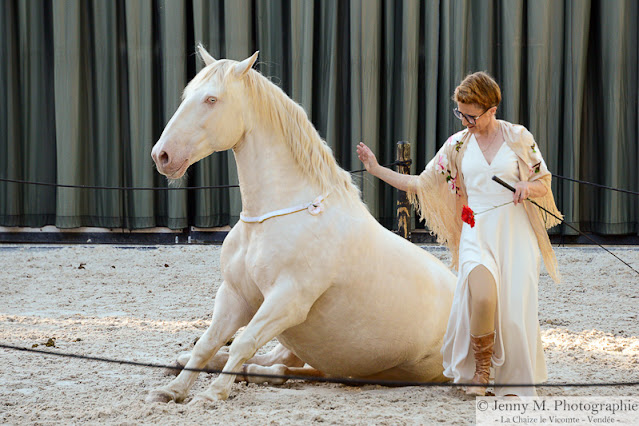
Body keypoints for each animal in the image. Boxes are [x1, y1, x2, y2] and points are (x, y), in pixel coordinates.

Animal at [148, 46, 458, 402]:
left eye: (212, 99)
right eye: (187, 95)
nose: (162, 156)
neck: (271, 219)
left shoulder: (288, 301)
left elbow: (243, 342)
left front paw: (211, 395)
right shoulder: (235, 296)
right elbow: (209, 344)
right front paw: (171, 390)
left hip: (380, 370)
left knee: (286, 368)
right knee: (273, 360)